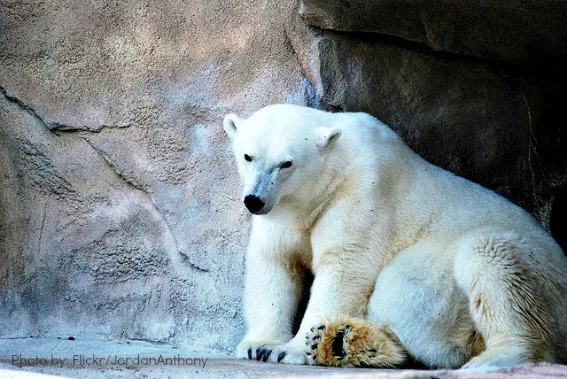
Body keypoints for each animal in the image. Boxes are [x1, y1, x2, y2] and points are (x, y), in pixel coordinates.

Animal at [223, 104, 567, 372]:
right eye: (248, 156)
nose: (254, 200)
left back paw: (497, 356)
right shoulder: (283, 212)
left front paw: (291, 349)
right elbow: (275, 262)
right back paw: (340, 341)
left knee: (483, 261)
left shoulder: (363, 191)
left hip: (541, 276)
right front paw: (259, 345)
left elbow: (344, 265)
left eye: (286, 163)